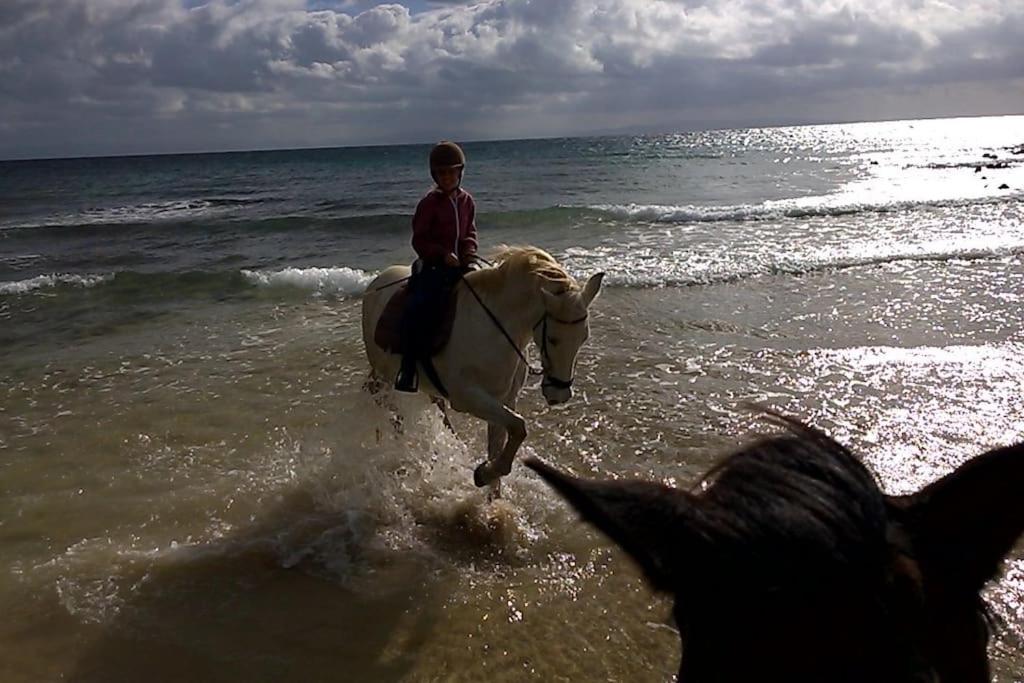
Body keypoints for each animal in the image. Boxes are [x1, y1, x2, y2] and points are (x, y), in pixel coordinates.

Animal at [362, 246, 604, 490]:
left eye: (583, 338)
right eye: (553, 339)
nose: (560, 394)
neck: (495, 331)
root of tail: (379, 280)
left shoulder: (504, 399)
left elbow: (505, 441)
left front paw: (489, 480)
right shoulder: (469, 398)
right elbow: (519, 427)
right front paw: (484, 473)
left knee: (436, 405)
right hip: (383, 374)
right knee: (386, 404)